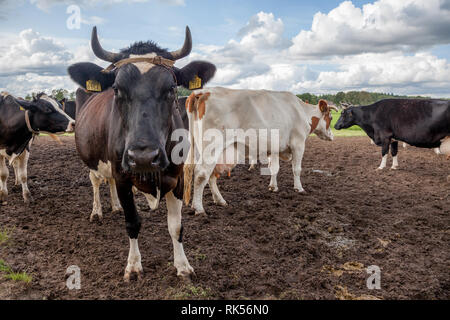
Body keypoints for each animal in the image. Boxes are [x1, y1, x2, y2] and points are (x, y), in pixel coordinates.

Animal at [68, 25, 216, 280]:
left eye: (171, 88)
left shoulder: (177, 178)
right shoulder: (123, 177)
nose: (143, 157)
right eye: (117, 89)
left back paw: (115, 206)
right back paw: (97, 211)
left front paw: (182, 265)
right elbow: (132, 223)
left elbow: (176, 226)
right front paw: (134, 266)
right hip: (93, 159)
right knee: (96, 181)